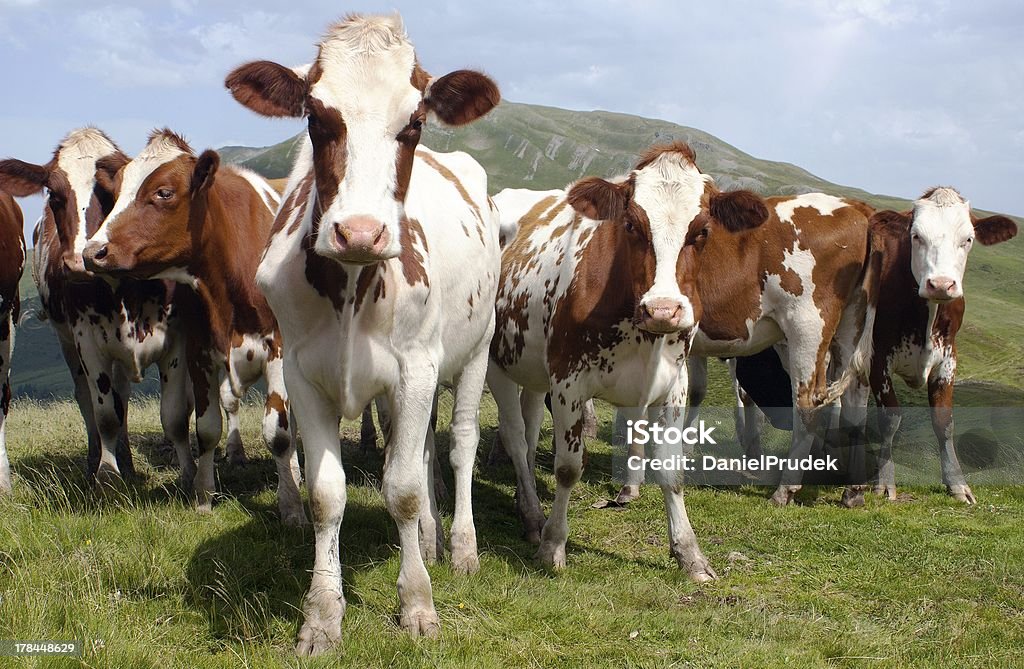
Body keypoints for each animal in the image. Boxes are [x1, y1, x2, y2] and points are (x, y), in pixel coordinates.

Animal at [0, 129, 202, 485]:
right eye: (55, 195)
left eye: (109, 193)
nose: (79, 261)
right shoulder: (88, 342)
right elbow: (105, 414)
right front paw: (106, 475)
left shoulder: (175, 339)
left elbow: (174, 415)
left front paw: (189, 475)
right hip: (68, 343)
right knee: (88, 400)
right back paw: (96, 459)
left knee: (123, 396)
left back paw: (127, 460)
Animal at [81, 129, 305, 528]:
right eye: (116, 192)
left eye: (164, 192)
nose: (94, 251)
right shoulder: (199, 350)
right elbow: (207, 428)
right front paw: (203, 496)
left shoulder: (277, 350)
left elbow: (278, 434)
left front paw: (291, 506)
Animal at [222, 11, 501, 651]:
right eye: (316, 118)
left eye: (415, 122)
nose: (360, 232)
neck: (351, 285)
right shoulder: (300, 372)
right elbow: (329, 494)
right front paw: (322, 614)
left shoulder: (417, 367)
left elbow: (401, 488)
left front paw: (418, 603)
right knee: (421, 448)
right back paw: (430, 538)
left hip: (475, 349)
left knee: (460, 444)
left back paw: (460, 546)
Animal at [839, 185, 1015, 504]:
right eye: (916, 236)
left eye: (968, 239)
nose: (941, 284)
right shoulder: (878, 357)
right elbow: (890, 418)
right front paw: (885, 482)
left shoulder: (949, 357)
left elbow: (944, 421)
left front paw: (957, 484)